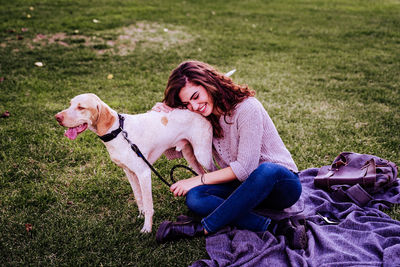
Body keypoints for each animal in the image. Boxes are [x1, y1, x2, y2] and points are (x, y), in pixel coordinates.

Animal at [55, 93, 216, 232]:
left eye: (81, 107)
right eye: (70, 104)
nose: (57, 117)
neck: (118, 131)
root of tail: (199, 111)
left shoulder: (144, 173)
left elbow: (148, 204)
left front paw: (147, 228)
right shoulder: (129, 172)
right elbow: (139, 197)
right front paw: (141, 214)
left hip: (202, 155)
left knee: (212, 171)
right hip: (190, 155)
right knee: (201, 174)